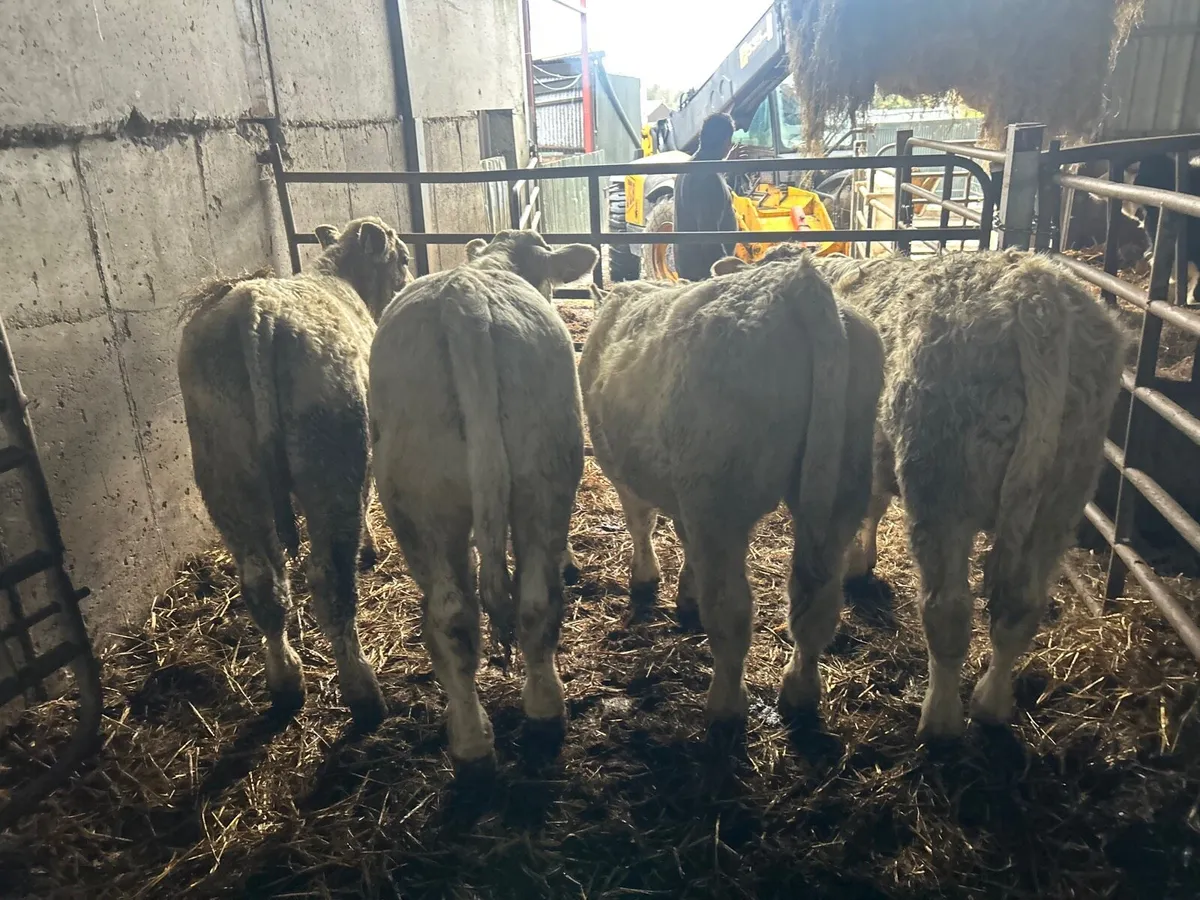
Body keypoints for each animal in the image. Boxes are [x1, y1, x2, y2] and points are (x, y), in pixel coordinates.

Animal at [177, 217, 411, 732]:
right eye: (403, 257)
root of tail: (256, 307)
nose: (406, 285)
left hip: (226, 474)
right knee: (330, 580)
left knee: (262, 583)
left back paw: (286, 682)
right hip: (331, 462)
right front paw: (371, 548)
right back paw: (363, 692)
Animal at [368, 230, 599, 765]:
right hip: (541, 478)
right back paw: (529, 716)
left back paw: (476, 738)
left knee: (460, 612)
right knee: (520, 602)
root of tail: (464, 301)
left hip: (428, 504)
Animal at [580, 251, 885, 726]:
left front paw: (646, 578)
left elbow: (641, 523)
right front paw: (685, 589)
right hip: (843, 486)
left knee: (731, 611)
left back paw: (725, 707)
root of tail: (797, 283)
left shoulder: (624, 470)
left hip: (718, 504)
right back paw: (799, 692)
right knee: (815, 603)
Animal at [717, 245, 1127, 741]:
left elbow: (869, 506)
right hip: (1060, 498)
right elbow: (874, 504)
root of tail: (1035, 293)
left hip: (940, 488)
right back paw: (991, 704)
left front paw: (855, 562)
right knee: (1019, 608)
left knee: (947, 612)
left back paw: (940, 721)